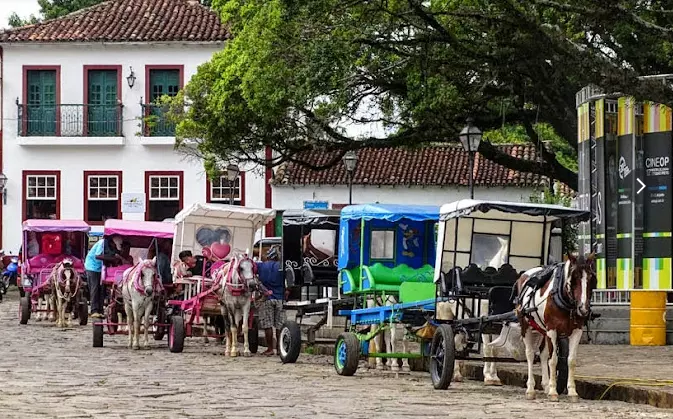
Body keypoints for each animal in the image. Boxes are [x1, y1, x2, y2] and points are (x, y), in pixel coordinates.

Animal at [516, 254, 592, 402]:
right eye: (573, 278)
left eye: (592, 278)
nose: (583, 309)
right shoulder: (552, 330)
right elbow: (553, 360)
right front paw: (553, 391)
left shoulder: (577, 331)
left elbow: (571, 360)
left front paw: (572, 391)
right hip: (525, 326)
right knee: (530, 354)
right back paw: (530, 389)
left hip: (542, 330)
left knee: (543, 354)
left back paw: (545, 385)